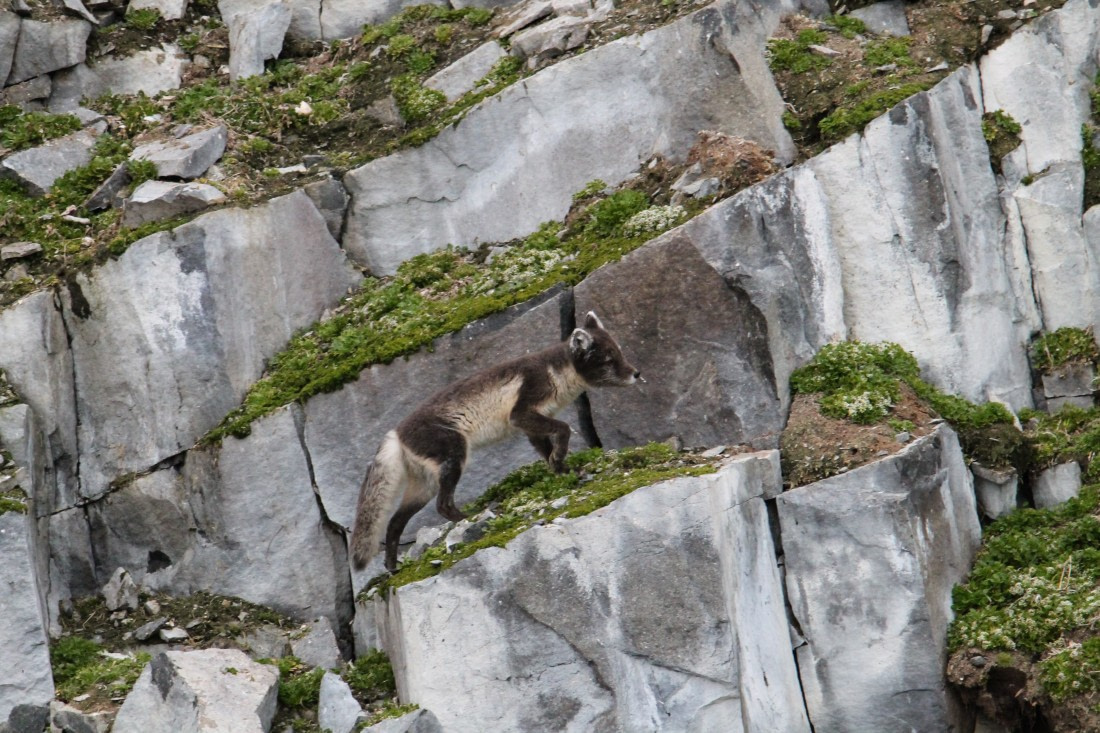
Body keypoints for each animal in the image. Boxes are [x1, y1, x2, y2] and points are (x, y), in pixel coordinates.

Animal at [350, 311, 641, 572]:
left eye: (619, 350)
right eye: (608, 359)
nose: (637, 373)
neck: (556, 372)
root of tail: (395, 434)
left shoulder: (532, 426)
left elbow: (547, 449)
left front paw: (563, 470)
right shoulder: (521, 413)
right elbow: (564, 429)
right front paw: (561, 460)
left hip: (423, 485)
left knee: (394, 523)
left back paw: (391, 565)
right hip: (453, 458)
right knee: (442, 505)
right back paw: (470, 518)